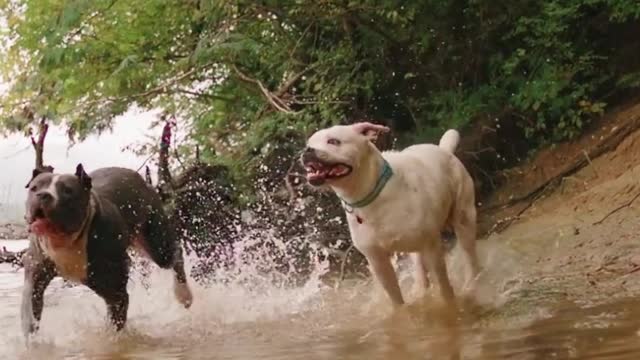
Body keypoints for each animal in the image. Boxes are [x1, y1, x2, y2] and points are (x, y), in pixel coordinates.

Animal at [21, 166, 192, 338]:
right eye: (34, 188)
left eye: (67, 191)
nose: (42, 195)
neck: (66, 242)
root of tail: (143, 180)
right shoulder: (35, 277)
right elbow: (30, 312)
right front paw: (33, 342)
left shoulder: (115, 292)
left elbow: (114, 325)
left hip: (157, 244)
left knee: (175, 254)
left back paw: (184, 295)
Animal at [302, 122, 478, 306]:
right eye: (309, 143)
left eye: (333, 141)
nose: (307, 150)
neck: (371, 195)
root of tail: (444, 149)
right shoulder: (378, 261)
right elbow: (396, 299)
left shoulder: (432, 248)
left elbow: (445, 289)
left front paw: (450, 306)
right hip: (416, 248)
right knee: (420, 267)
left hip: (464, 219)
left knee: (470, 257)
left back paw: (471, 285)